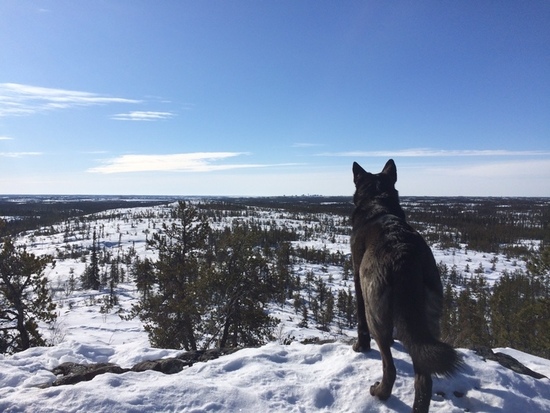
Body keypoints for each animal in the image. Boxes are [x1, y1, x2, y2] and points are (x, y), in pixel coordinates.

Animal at [352, 160, 464, 412]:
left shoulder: (357, 279)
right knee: (423, 375)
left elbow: (360, 322)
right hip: (428, 316)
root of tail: (403, 255)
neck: (378, 201)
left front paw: (360, 347)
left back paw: (380, 392)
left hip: (375, 312)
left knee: (390, 366)